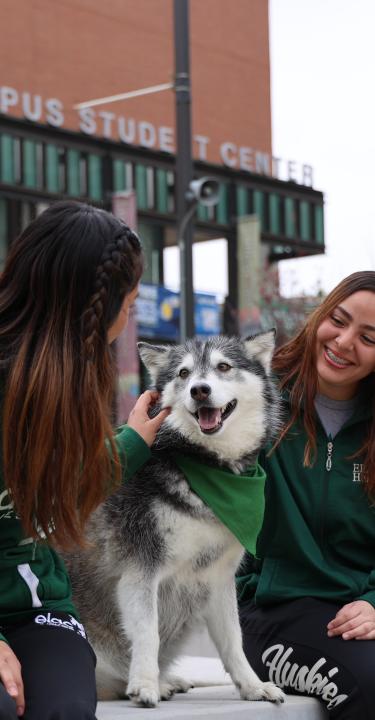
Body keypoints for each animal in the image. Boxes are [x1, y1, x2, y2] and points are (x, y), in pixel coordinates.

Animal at [66, 334, 286, 704]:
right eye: (184, 373)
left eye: (223, 366)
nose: (200, 390)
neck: (207, 469)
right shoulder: (140, 567)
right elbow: (147, 633)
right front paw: (144, 684)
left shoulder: (219, 577)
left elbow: (234, 642)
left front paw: (253, 686)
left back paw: (167, 681)